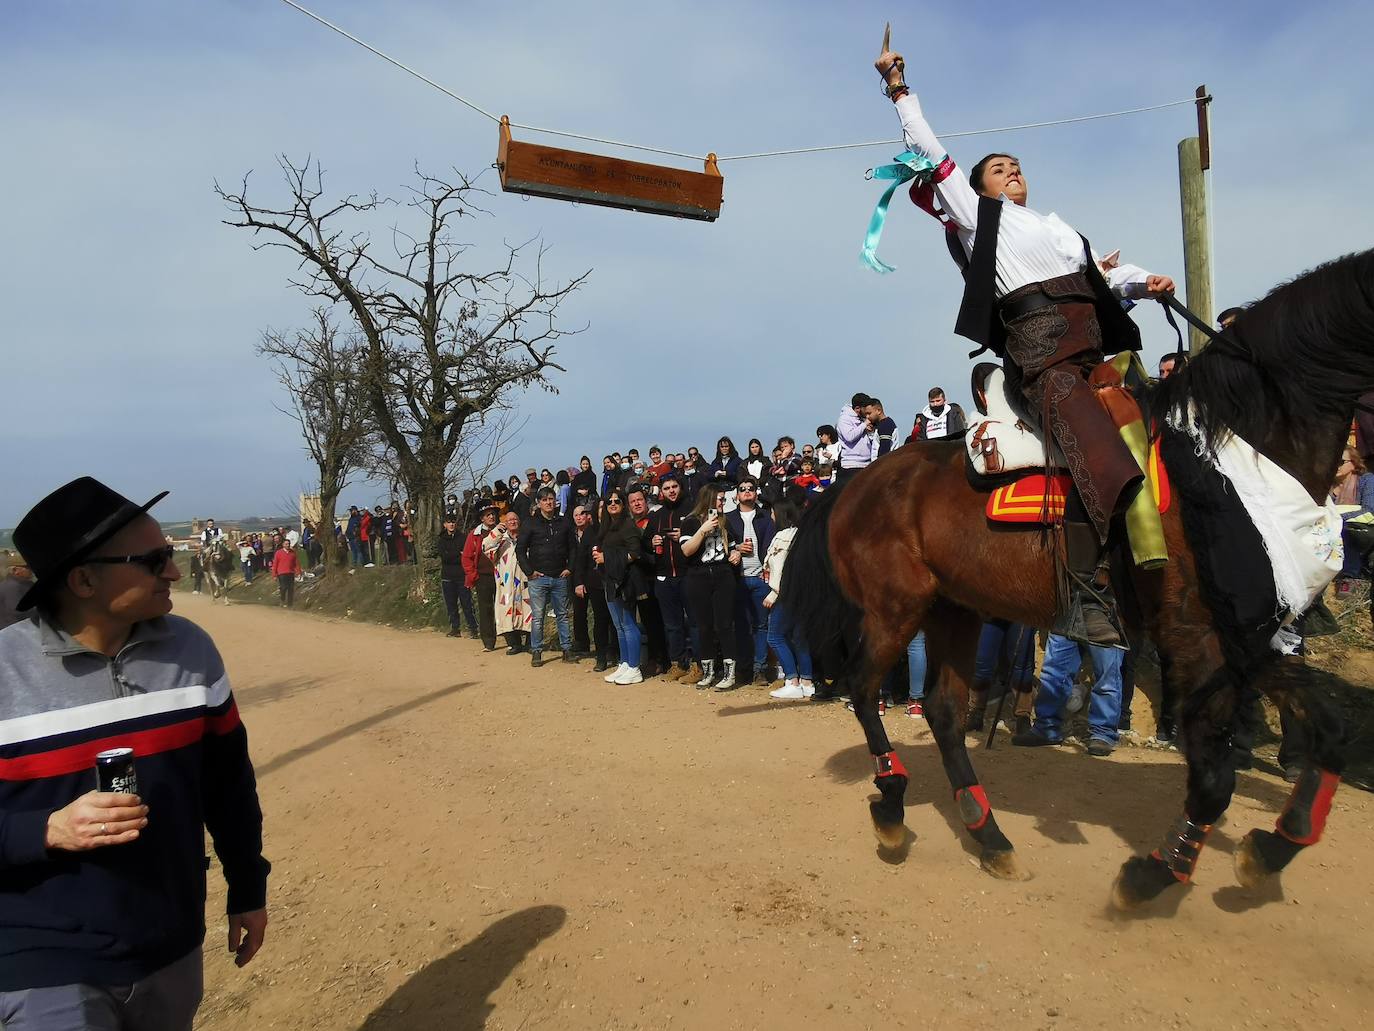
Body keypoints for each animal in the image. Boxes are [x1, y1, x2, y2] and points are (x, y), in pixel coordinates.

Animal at [785, 252, 1374, 912]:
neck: (1236, 458)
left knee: (943, 711)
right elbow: (1214, 779)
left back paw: (990, 836)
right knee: (864, 688)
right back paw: (891, 802)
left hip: (954, 610)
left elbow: (1329, 729)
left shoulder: (1249, 636)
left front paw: (1276, 843)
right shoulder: (1198, 633)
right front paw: (1154, 874)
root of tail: (851, 484)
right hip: (896, 608)